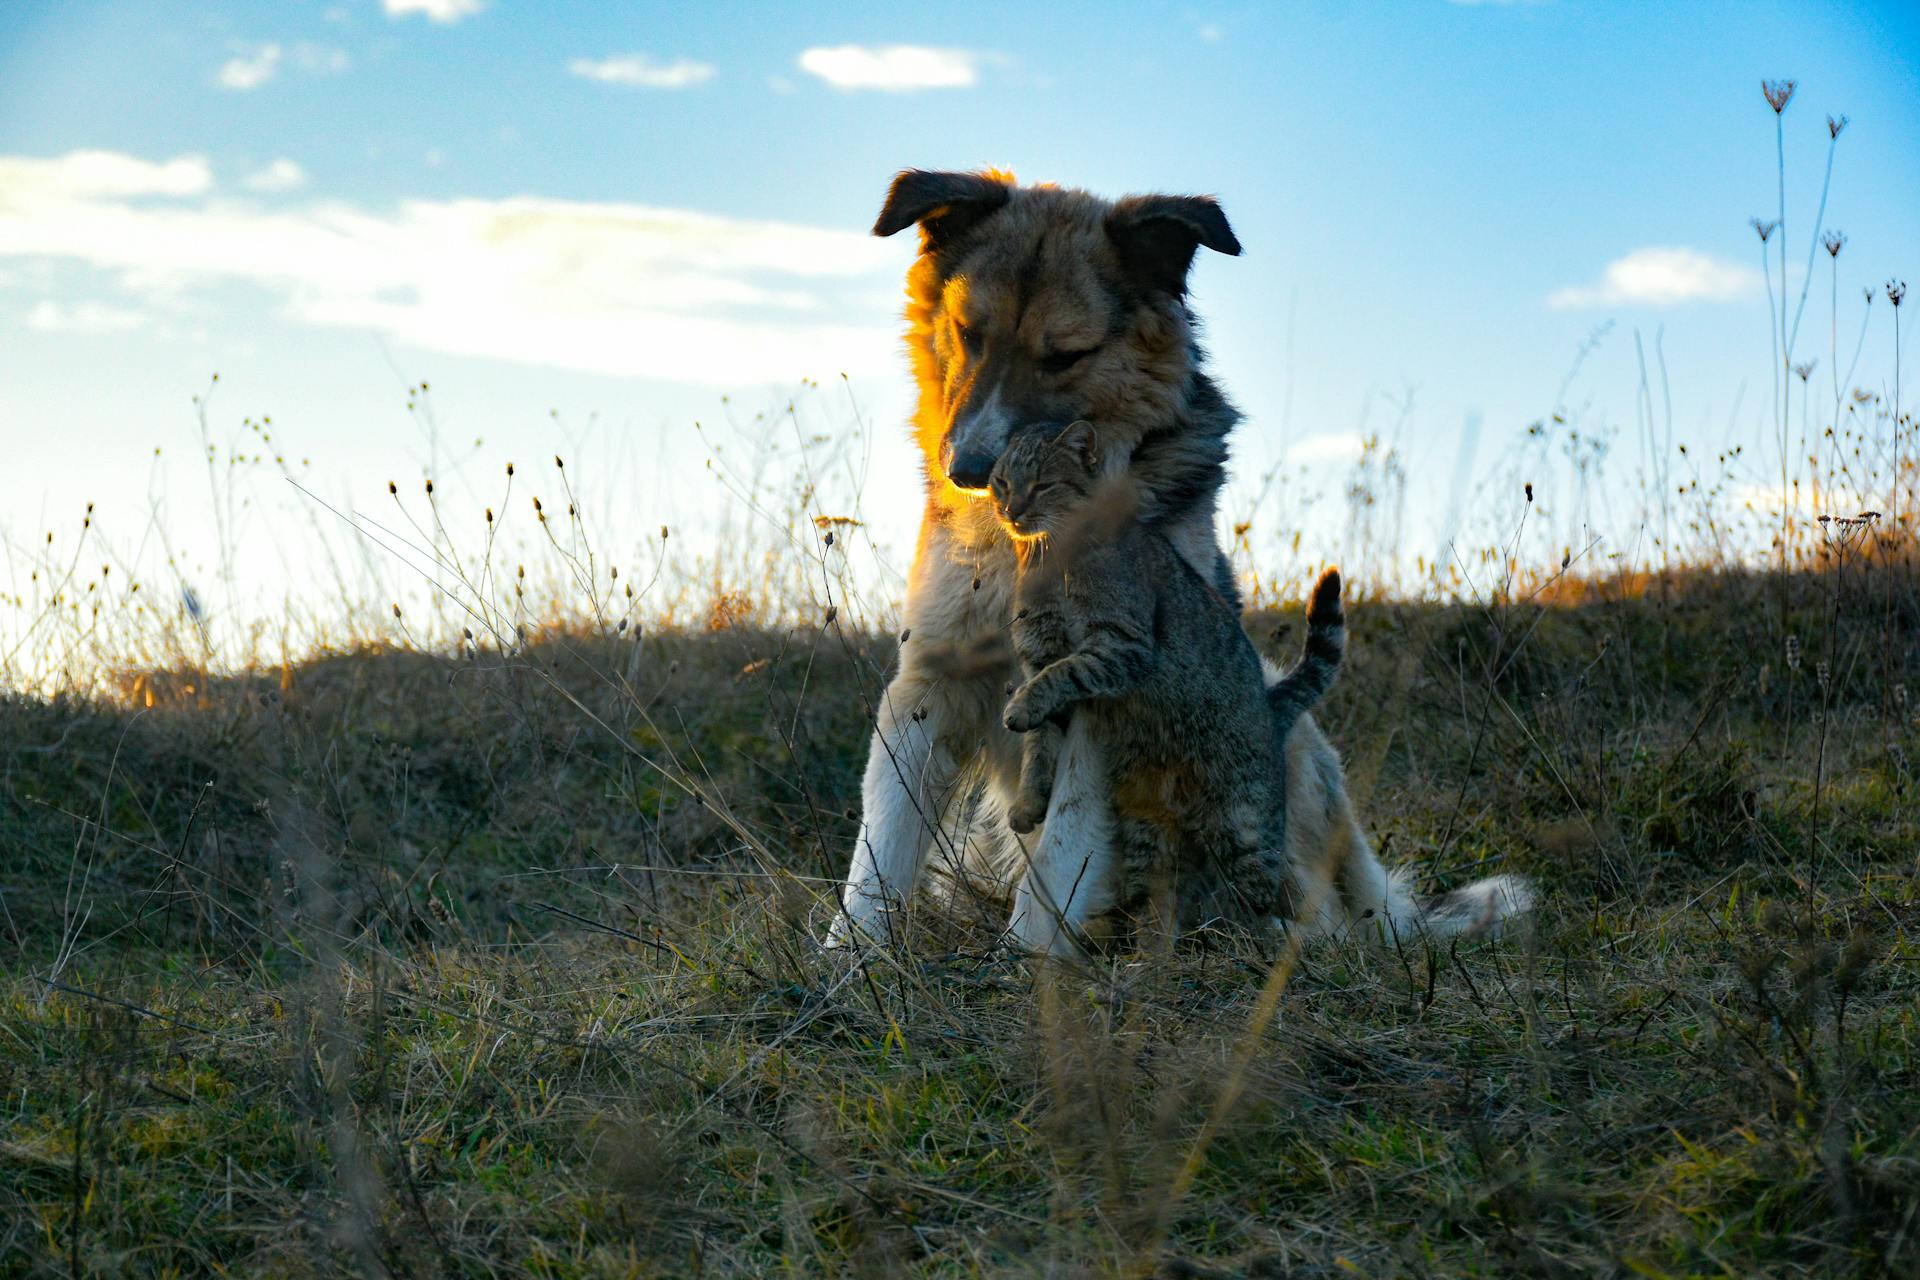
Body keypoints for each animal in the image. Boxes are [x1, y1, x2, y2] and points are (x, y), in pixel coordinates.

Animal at [983, 422, 1344, 940]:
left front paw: (1021, 709)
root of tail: (1270, 705)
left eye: (1043, 485)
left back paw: (1255, 942)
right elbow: (1039, 747)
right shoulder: (1042, 656)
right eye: (1002, 483)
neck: (1050, 558)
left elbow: (1061, 676)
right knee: (1161, 890)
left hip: (1244, 829)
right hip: (1145, 831)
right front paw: (1030, 802)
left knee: (1258, 899)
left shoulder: (1120, 646)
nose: (1010, 510)